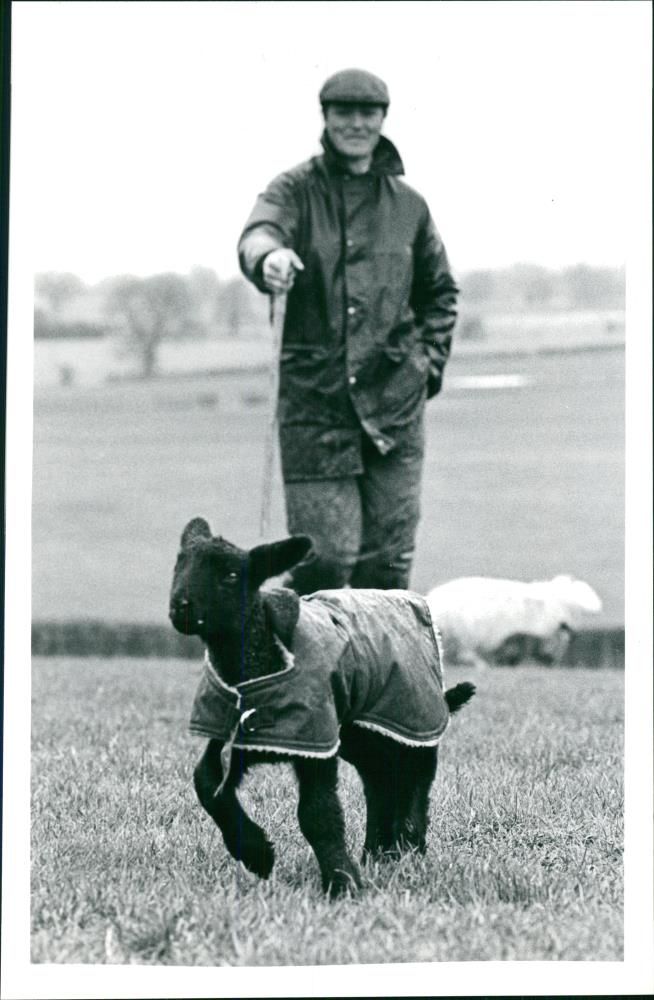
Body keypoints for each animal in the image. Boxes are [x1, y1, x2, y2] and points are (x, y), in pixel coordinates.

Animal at [169, 516, 476, 900]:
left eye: (230, 575)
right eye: (179, 563)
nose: (181, 606)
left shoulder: (316, 743)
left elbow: (318, 813)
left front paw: (342, 882)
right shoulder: (235, 737)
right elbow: (206, 784)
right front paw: (257, 853)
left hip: (411, 716)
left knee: (416, 773)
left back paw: (409, 846)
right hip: (360, 732)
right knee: (380, 780)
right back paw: (378, 851)